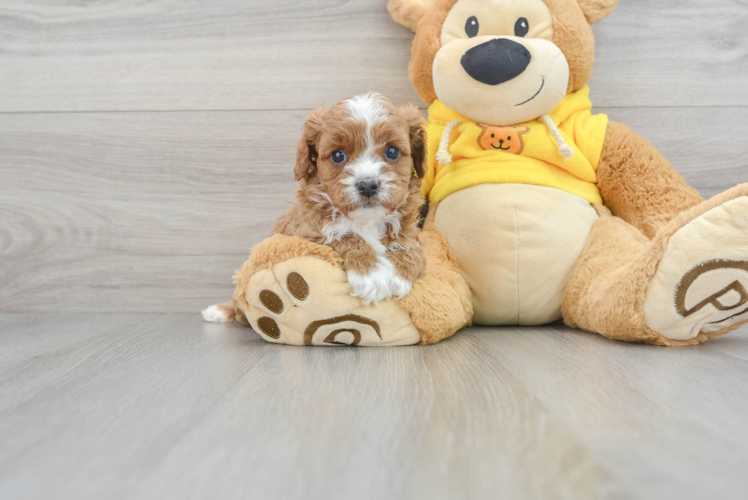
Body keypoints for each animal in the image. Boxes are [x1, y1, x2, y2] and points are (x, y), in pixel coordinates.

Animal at [274, 93, 426, 304]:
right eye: (338, 155)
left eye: (392, 151)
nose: (368, 185)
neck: (367, 220)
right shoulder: (305, 232)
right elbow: (342, 234)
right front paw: (371, 276)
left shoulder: (413, 233)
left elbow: (412, 249)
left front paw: (397, 276)